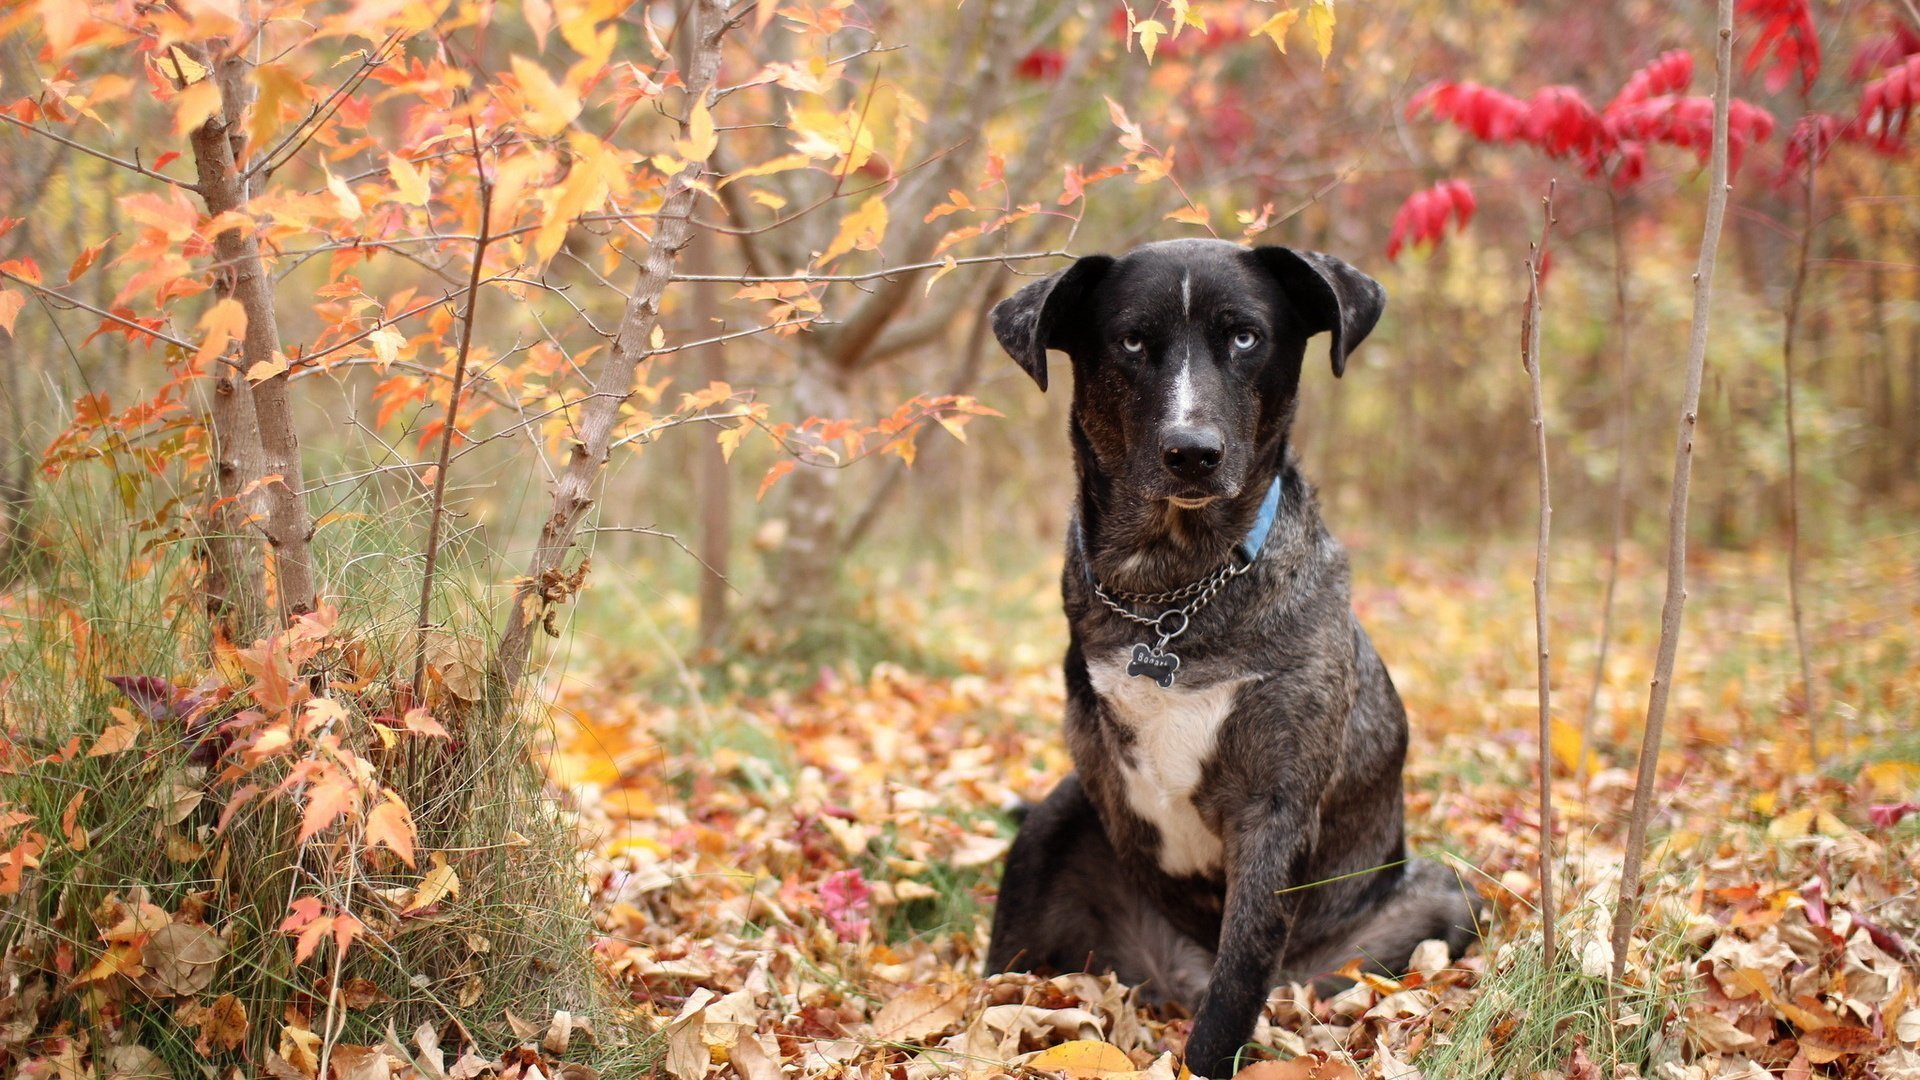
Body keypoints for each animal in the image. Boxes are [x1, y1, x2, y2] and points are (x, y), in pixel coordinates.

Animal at [983, 239, 1474, 1068]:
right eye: (1132, 341)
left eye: (1246, 336)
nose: (1192, 453)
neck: (1172, 592)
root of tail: (1178, 975)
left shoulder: (1273, 809)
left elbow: (1241, 977)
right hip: (1060, 812)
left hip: (1428, 909)